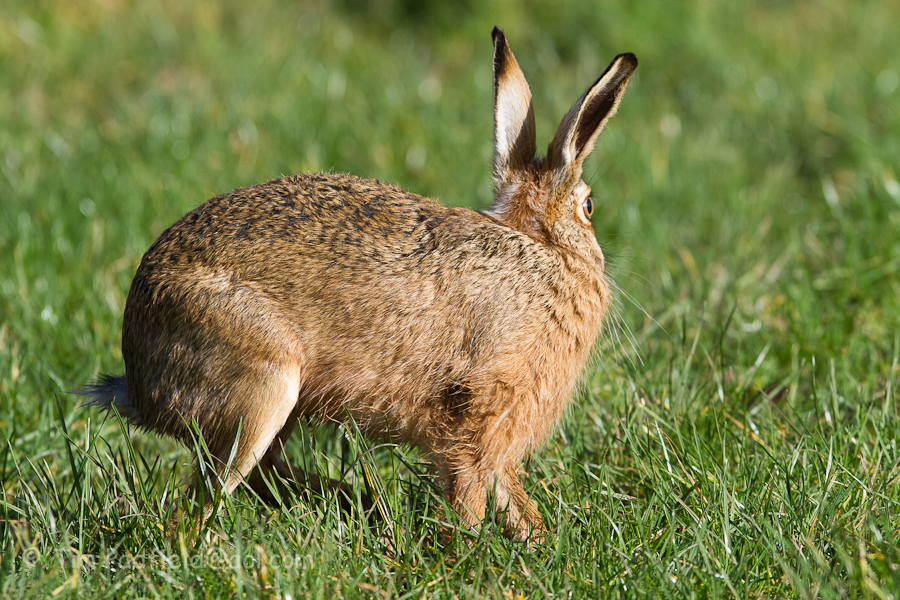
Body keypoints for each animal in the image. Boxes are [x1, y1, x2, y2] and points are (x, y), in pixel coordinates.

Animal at [83, 26, 637, 542]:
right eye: (589, 207)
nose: (600, 257)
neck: (542, 250)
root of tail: (139, 381)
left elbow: (508, 492)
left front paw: (533, 542)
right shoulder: (480, 407)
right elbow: (471, 489)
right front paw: (470, 550)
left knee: (258, 478)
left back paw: (359, 506)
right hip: (265, 385)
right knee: (202, 503)